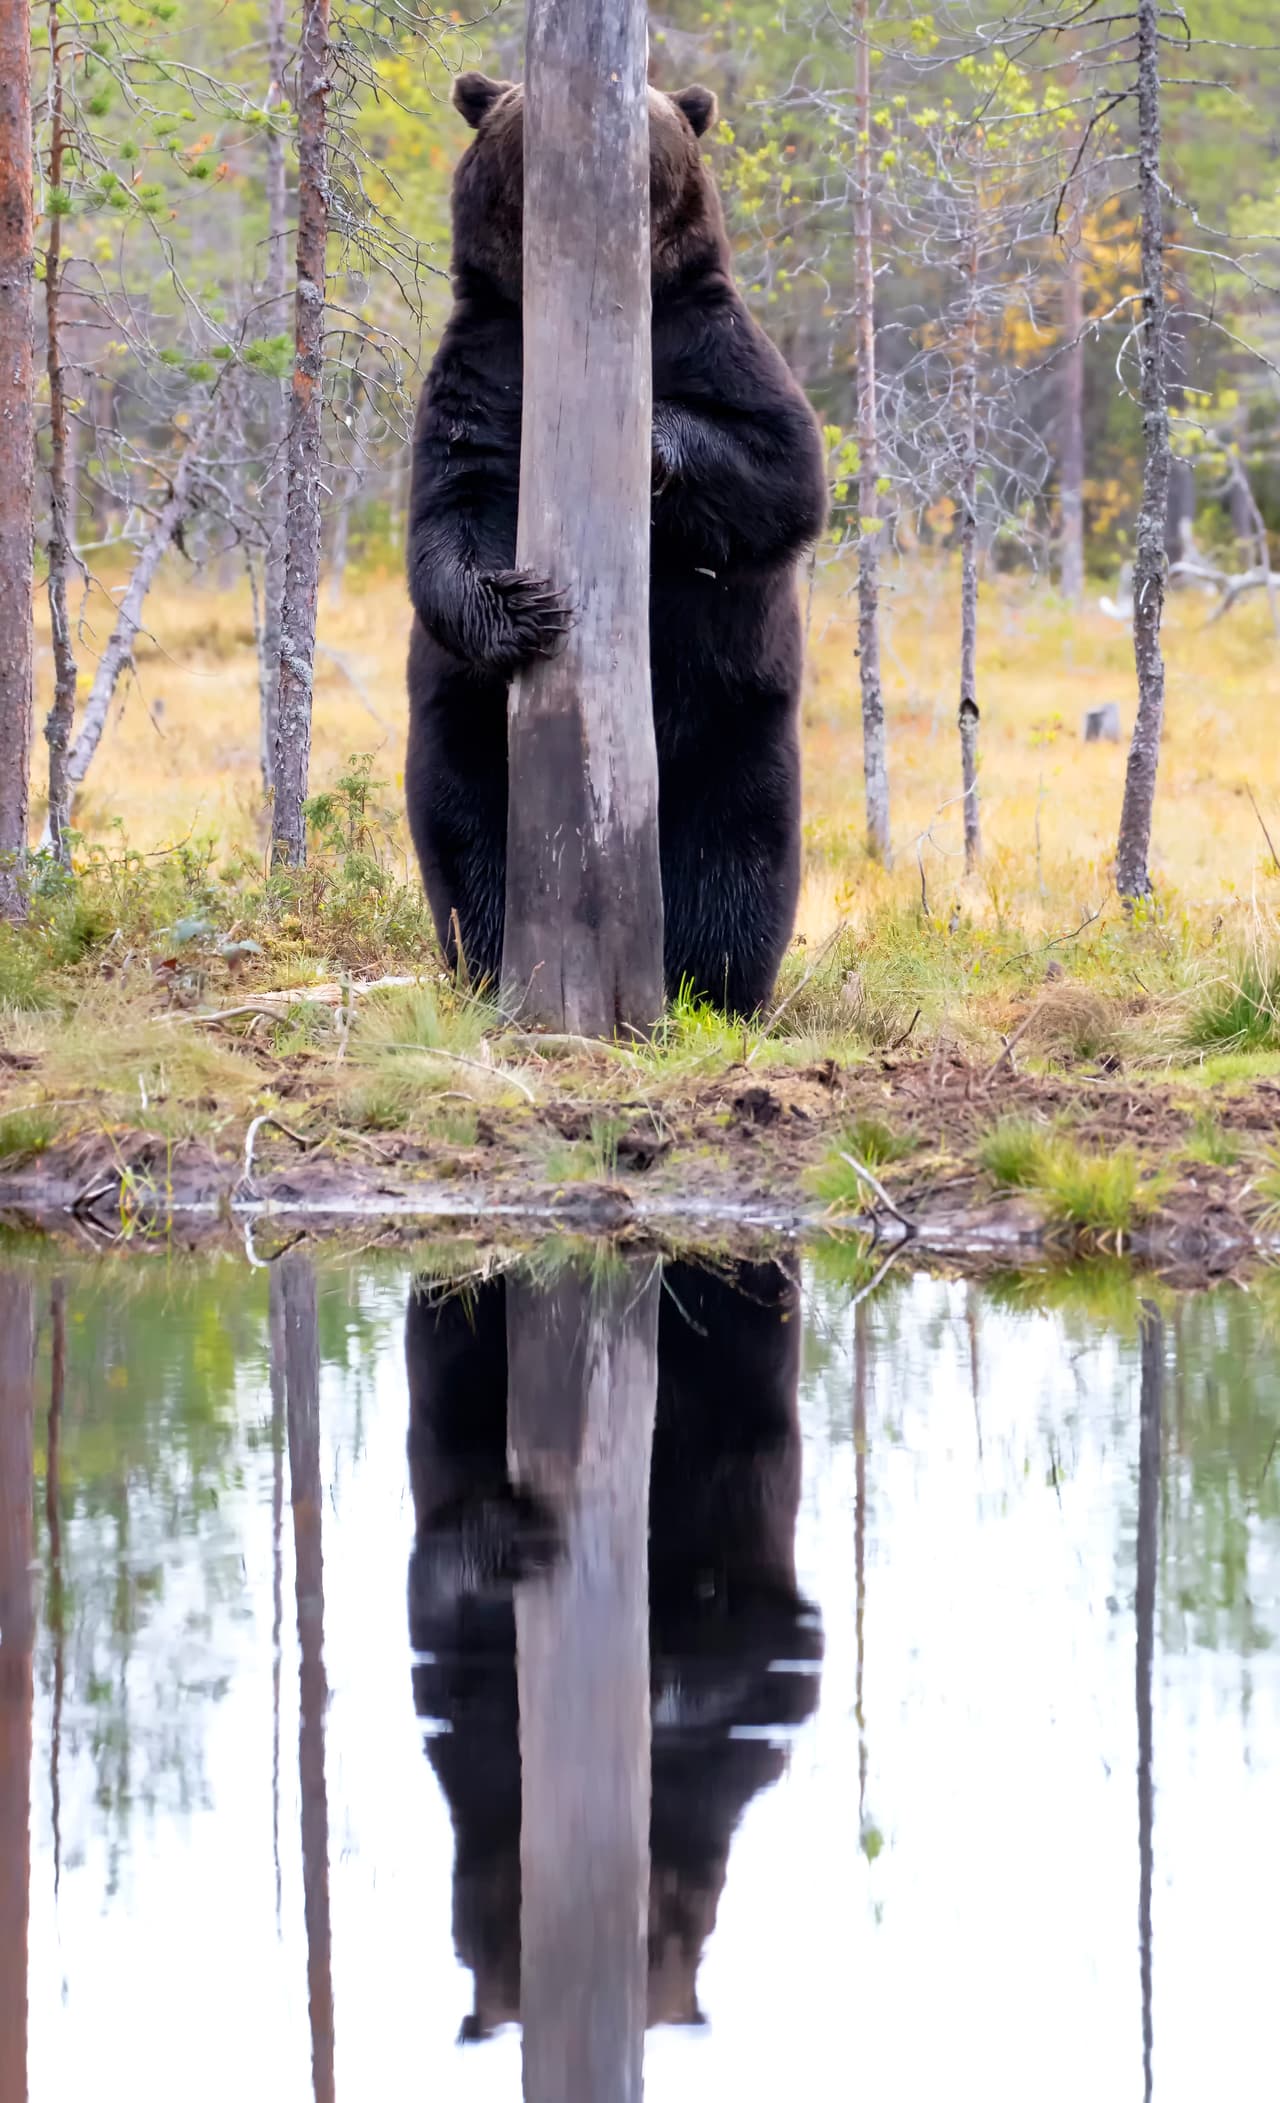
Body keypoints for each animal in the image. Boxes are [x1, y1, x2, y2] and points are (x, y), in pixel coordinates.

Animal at [405, 71, 828, 1017]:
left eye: (654, 107)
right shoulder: (485, 365)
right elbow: (450, 510)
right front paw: (524, 606)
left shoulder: (712, 337)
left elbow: (783, 469)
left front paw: (653, 441)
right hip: (466, 730)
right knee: (467, 836)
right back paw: (493, 962)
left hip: (735, 724)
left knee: (737, 858)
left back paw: (715, 985)